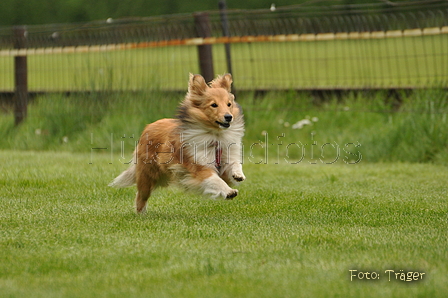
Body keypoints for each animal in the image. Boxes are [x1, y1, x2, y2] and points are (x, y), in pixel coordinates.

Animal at [110, 73, 247, 213]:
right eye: (214, 105)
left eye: (229, 104)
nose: (228, 117)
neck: (215, 136)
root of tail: (148, 126)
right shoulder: (199, 167)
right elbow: (215, 180)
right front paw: (229, 192)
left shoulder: (225, 159)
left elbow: (234, 164)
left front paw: (238, 175)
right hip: (148, 175)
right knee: (141, 195)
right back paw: (141, 213)